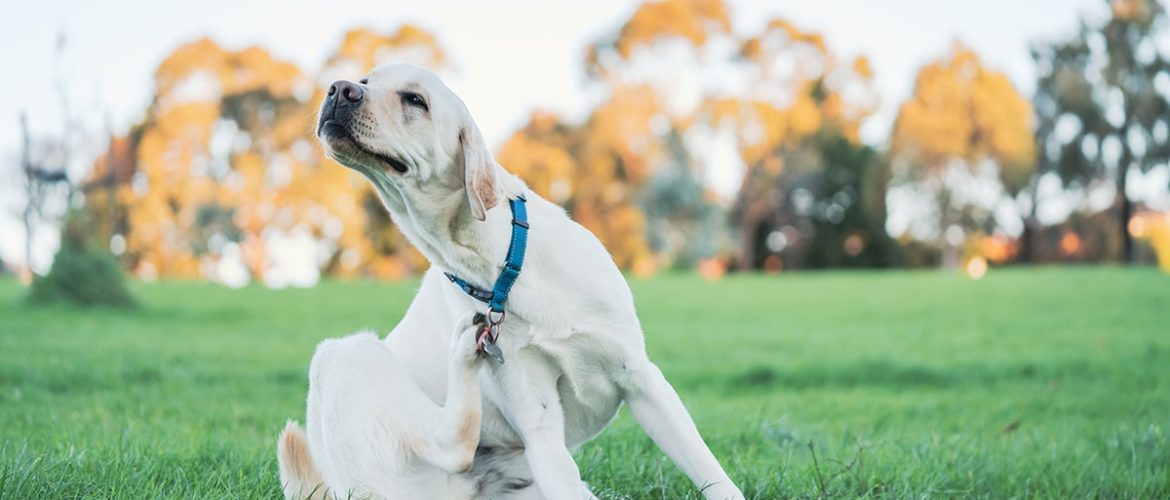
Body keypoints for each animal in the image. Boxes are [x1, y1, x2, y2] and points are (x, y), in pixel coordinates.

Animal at [278, 63, 744, 500]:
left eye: (415, 99)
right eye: (364, 80)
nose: (338, 88)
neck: (503, 268)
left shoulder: (642, 379)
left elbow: (712, 474)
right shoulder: (539, 424)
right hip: (343, 354)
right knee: (453, 444)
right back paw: (463, 352)